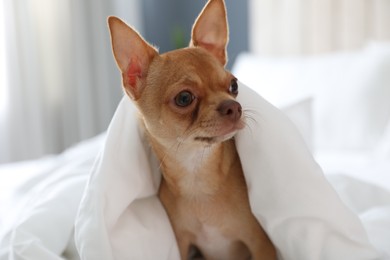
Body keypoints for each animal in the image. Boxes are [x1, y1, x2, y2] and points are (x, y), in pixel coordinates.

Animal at [108, 0, 276, 258]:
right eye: (184, 98)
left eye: (234, 85)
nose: (234, 107)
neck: (197, 174)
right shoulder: (183, 244)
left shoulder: (262, 244)